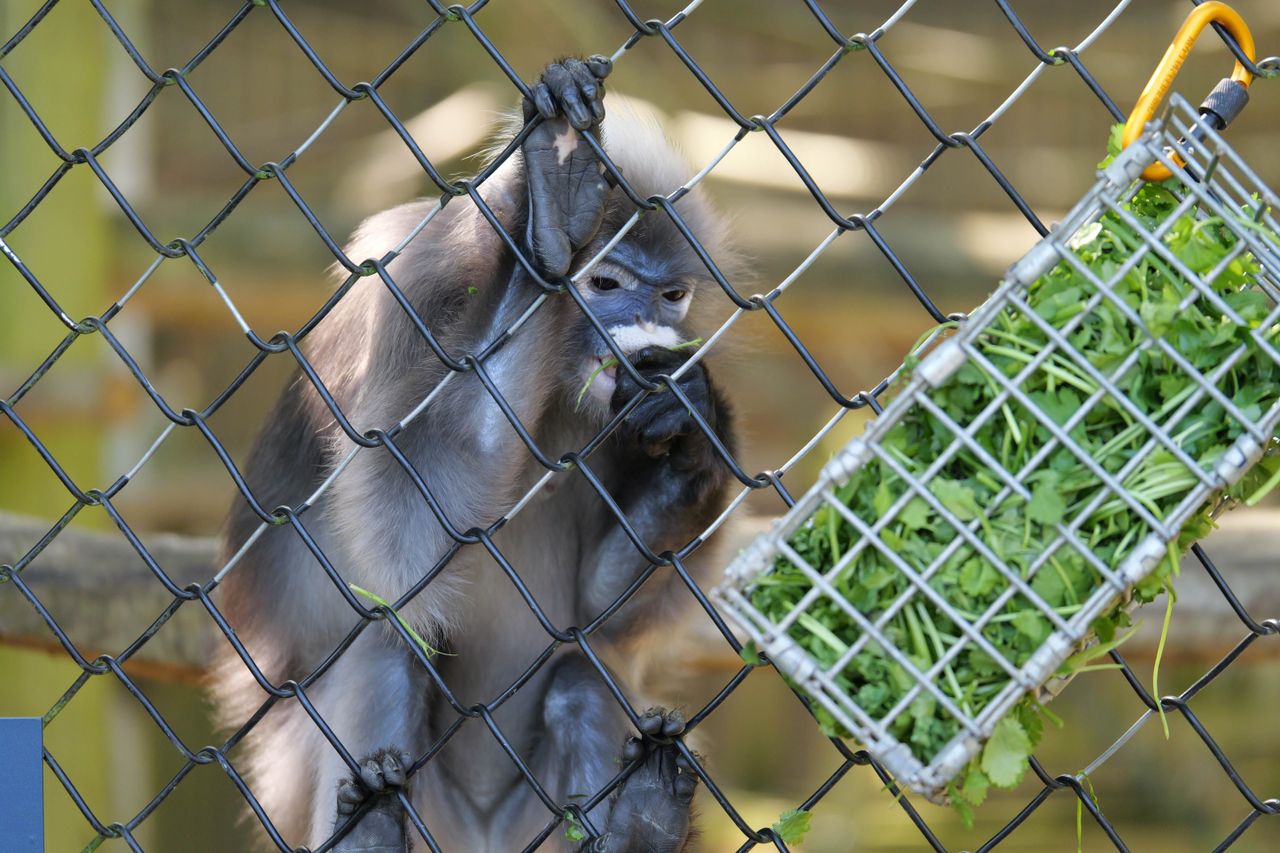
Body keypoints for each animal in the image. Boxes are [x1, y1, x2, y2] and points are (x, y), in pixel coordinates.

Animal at [211, 56, 740, 852]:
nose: (647, 334)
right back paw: (370, 830)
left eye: (672, 295)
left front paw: (691, 428)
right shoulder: (406, 294)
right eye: (605, 284)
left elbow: (596, 615)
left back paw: (639, 821)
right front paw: (545, 228)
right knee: (389, 644)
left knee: (580, 675)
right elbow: (408, 536)